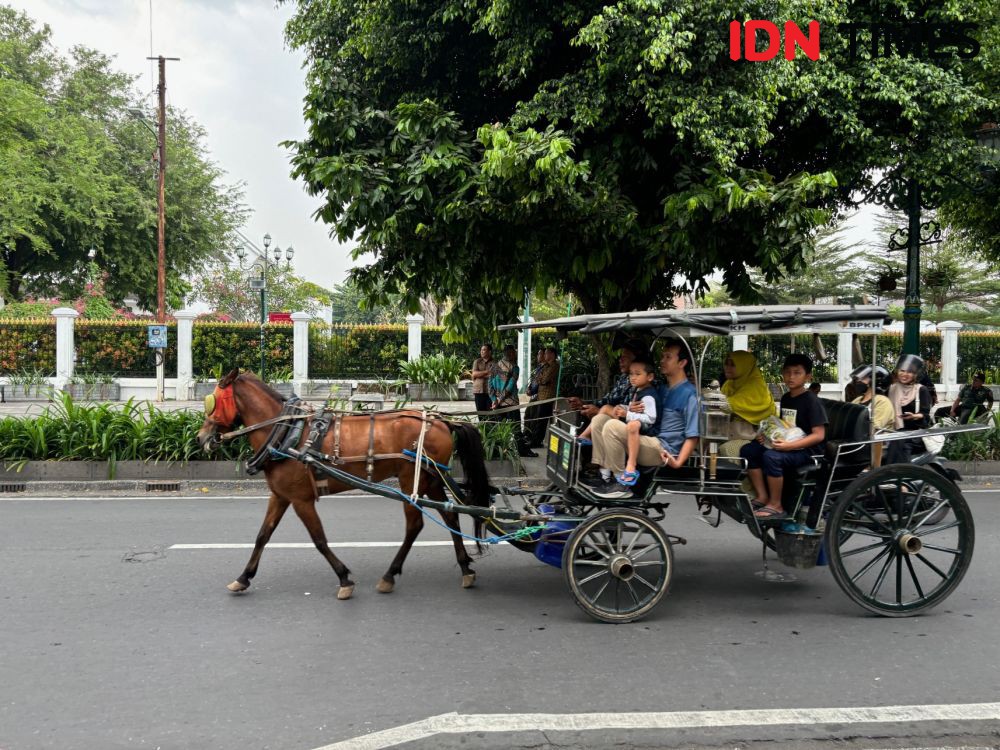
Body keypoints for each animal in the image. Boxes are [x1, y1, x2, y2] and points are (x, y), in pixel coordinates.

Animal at [195, 374, 492, 604]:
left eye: (212, 401)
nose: (201, 438)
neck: (287, 432)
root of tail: (443, 421)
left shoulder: (301, 499)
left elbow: (319, 539)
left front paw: (344, 579)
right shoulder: (280, 496)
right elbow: (262, 536)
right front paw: (243, 577)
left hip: (412, 479)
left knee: (415, 524)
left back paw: (389, 575)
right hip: (431, 480)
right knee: (450, 515)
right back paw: (465, 568)